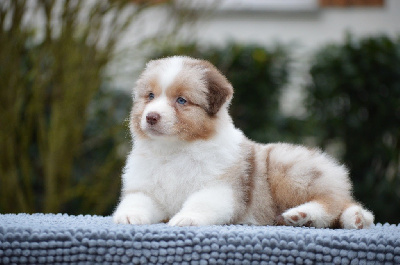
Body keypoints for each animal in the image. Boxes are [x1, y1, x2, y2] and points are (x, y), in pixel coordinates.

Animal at [113, 55, 376, 227]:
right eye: (150, 96)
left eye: (181, 100)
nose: (151, 117)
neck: (175, 150)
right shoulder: (146, 190)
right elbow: (136, 201)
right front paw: (128, 216)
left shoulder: (221, 189)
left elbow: (201, 203)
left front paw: (186, 218)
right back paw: (350, 219)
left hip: (289, 171)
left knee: (334, 202)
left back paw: (307, 215)